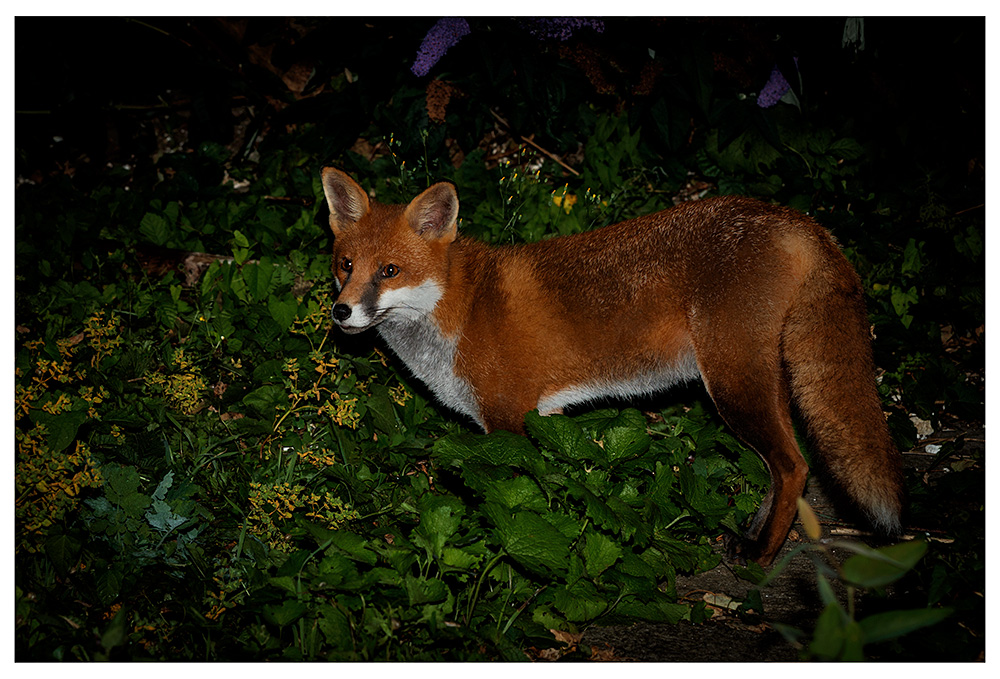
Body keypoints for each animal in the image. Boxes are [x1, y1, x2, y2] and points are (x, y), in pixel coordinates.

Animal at [320, 166, 904, 566]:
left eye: (389, 271)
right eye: (346, 265)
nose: (341, 311)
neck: (459, 310)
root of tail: (795, 217)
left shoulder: (507, 421)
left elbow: (512, 499)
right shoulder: (545, 419)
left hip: (732, 384)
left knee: (794, 466)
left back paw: (762, 559)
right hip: (751, 384)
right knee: (783, 467)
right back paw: (752, 538)